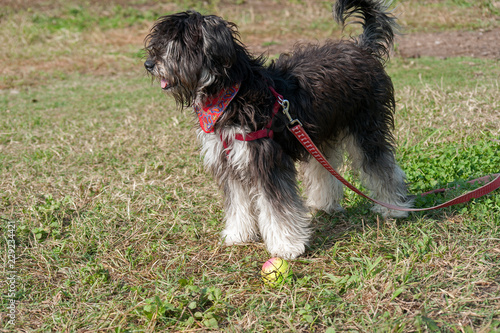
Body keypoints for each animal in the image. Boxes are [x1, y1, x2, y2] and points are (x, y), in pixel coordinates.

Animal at [143, 0, 412, 258]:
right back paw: (323, 203)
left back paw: (394, 206)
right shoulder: (227, 162)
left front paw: (287, 245)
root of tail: (361, 48)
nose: (149, 64)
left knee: (381, 166)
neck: (232, 94)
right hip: (320, 134)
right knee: (325, 169)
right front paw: (239, 234)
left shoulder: (265, 161)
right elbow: (237, 203)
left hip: (366, 128)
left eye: (178, 44)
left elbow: (278, 208)